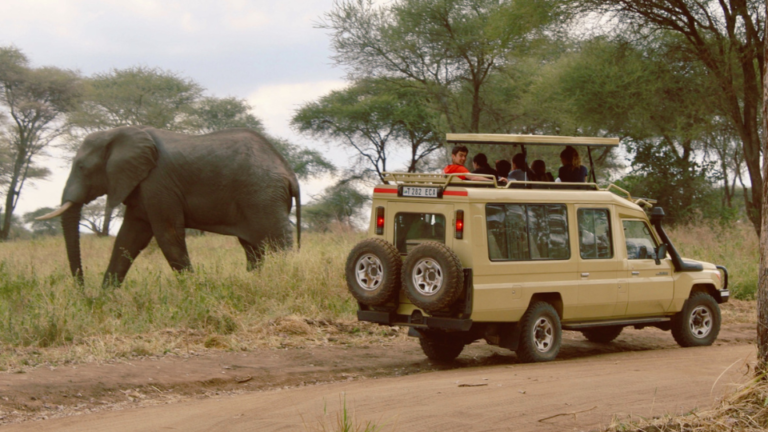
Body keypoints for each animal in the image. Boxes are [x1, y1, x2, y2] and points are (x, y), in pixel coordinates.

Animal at [38, 125, 301, 286]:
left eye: (81, 167)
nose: (82, 290)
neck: (120, 133)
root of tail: (289, 173)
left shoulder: (158, 183)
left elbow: (168, 235)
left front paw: (196, 291)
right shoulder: (141, 186)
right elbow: (128, 238)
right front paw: (103, 300)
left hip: (263, 195)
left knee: (277, 242)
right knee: (254, 248)